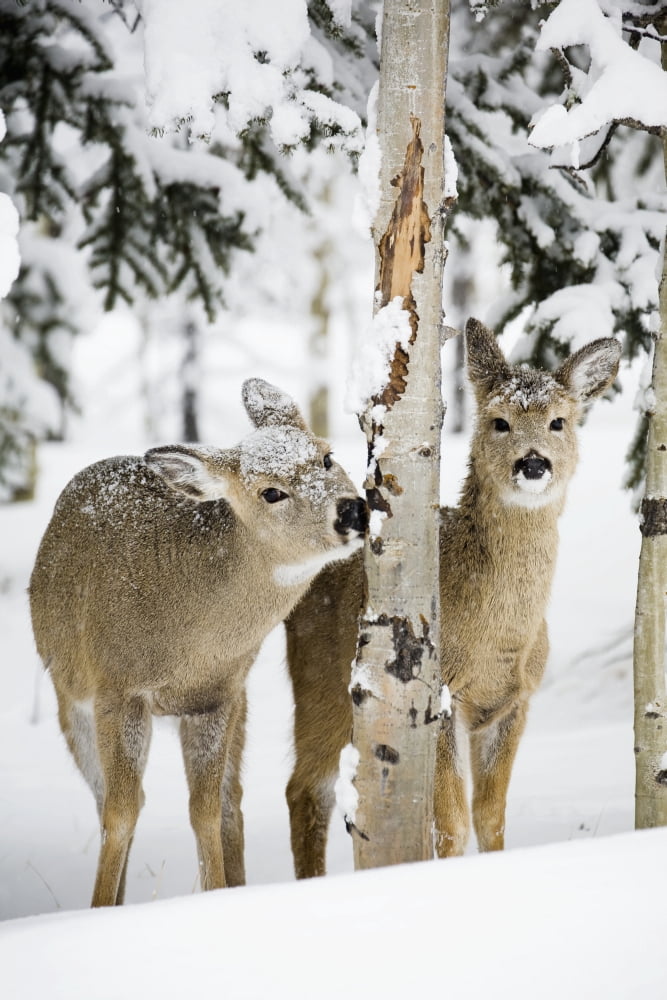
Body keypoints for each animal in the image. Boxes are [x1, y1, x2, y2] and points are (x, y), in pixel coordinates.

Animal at [29, 378, 368, 907]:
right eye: (270, 492)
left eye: (327, 456)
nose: (352, 510)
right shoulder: (116, 690)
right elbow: (121, 811)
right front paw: (101, 908)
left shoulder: (218, 698)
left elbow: (206, 809)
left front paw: (216, 894)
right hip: (70, 696)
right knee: (110, 798)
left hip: (238, 705)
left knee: (230, 801)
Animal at [284, 318, 621, 878]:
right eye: (500, 422)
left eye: (558, 421)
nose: (534, 464)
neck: (498, 636)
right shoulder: (439, 694)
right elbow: (451, 823)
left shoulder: (515, 702)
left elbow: (490, 816)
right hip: (321, 685)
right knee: (306, 789)